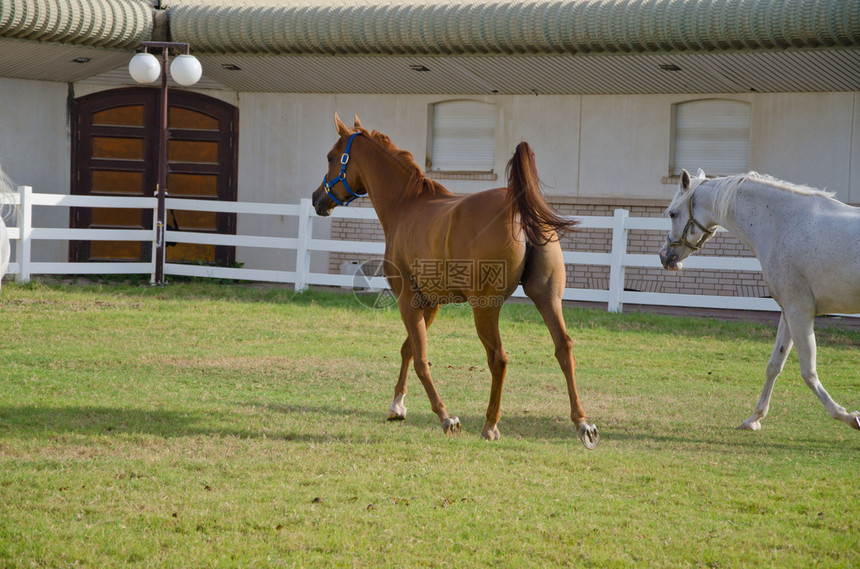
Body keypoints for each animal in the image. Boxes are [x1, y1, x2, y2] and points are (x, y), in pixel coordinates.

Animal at [310, 113, 596, 446]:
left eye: (331, 157)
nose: (317, 198)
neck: (406, 205)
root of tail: (517, 207)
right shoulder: (430, 303)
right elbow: (409, 349)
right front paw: (397, 405)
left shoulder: (408, 300)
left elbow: (421, 358)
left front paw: (445, 417)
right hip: (548, 298)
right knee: (564, 349)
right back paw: (582, 423)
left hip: (485, 307)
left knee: (498, 358)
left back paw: (490, 424)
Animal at [660, 169, 856, 430]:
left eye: (673, 213)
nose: (665, 257)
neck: (786, 224)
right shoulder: (789, 312)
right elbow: (774, 365)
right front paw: (754, 418)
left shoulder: (799, 312)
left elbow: (808, 371)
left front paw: (848, 416)